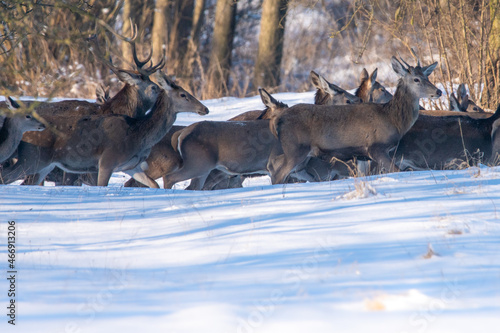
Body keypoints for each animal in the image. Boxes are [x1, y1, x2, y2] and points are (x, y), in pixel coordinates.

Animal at [270, 54, 442, 184]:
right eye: (416, 79)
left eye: (427, 76)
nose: (439, 91)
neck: (393, 120)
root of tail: (279, 120)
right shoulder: (376, 147)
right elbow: (396, 170)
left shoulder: (362, 156)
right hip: (296, 148)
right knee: (278, 174)